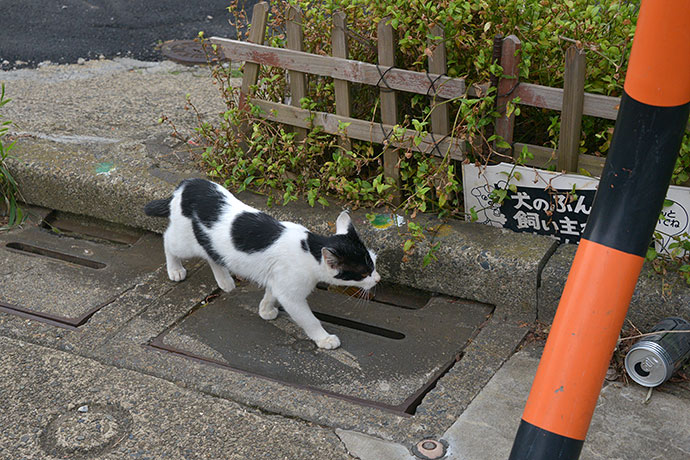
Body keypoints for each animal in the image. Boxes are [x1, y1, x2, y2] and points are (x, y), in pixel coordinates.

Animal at [144, 179, 378, 348]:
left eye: (373, 264)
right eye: (363, 273)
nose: (377, 279)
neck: (309, 249)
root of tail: (187, 184)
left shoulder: (279, 281)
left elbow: (270, 294)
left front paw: (265, 310)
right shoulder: (292, 296)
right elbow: (310, 320)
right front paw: (324, 339)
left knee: (212, 254)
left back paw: (225, 281)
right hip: (184, 241)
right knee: (168, 240)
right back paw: (175, 269)